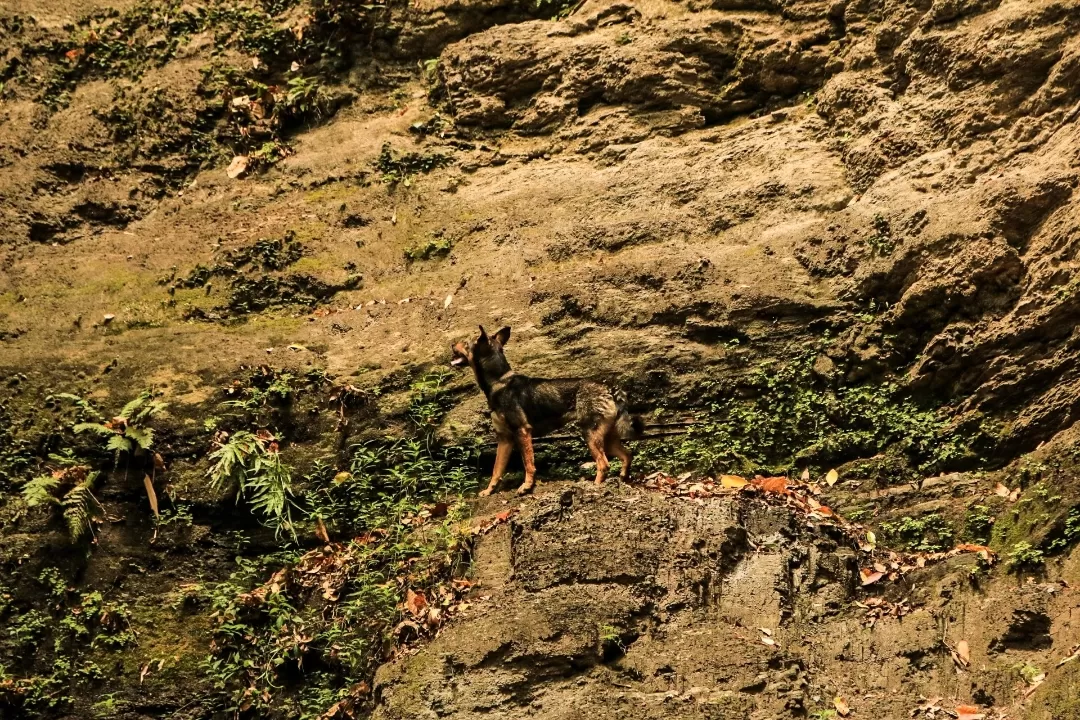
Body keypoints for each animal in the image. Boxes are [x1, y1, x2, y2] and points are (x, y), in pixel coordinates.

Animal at [447, 325, 639, 496]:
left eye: (465, 343)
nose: (451, 344)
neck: (499, 381)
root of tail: (609, 389)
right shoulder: (504, 439)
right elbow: (496, 469)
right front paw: (489, 491)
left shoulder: (522, 431)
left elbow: (528, 464)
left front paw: (526, 487)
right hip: (607, 438)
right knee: (627, 455)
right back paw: (623, 478)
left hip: (590, 435)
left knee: (603, 464)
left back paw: (594, 487)